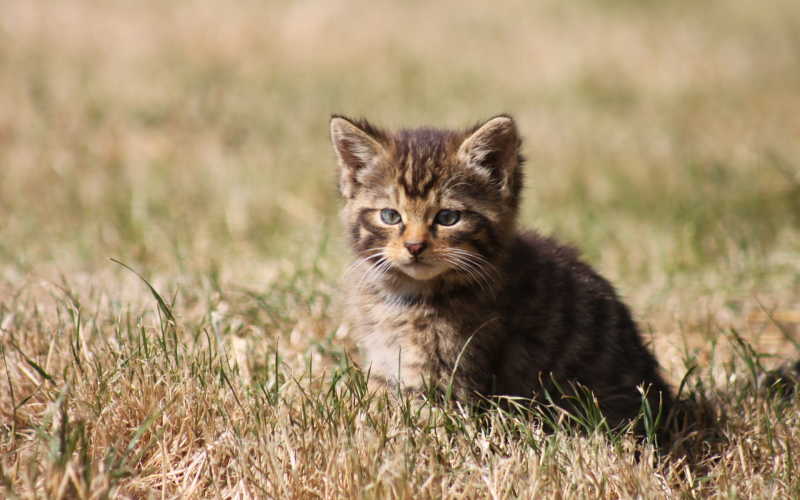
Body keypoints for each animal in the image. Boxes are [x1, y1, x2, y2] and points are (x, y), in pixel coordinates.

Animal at [332, 114, 676, 434]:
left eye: (448, 217)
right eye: (390, 216)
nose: (414, 246)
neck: (409, 296)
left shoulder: (454, 374)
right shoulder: (386, 363)